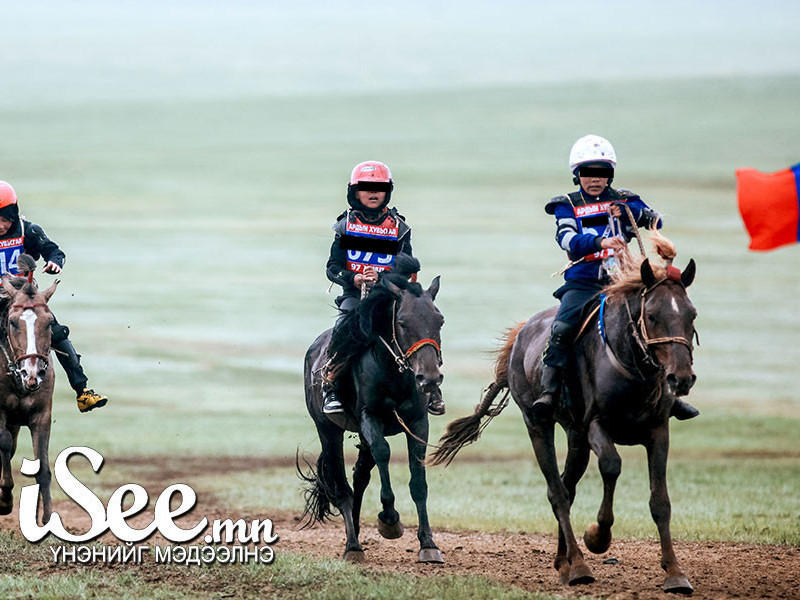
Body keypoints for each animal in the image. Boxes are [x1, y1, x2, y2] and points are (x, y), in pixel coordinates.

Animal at [432, 246, 700, 592]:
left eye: (691, 315)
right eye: (652, 315)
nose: (681, 379)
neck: (630, 368)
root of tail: (520, 335)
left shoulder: (657, 431)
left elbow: (660, 502)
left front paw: (674, 572)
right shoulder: (596, 426)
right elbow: (611, 466)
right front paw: (597, 536)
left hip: (575, 437)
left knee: (566, 486)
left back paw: (565, 562)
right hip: (539, 425)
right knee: (557, 491)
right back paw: (579, 566)